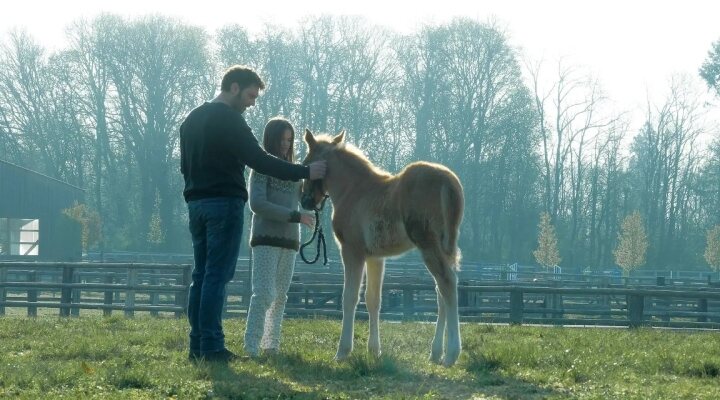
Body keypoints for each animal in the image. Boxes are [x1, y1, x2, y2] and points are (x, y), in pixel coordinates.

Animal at [300, 130, 464, 368]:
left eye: (306, 164)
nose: (305, 201)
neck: (353, 190)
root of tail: (449, 181)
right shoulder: (375, 257)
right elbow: (373, 300)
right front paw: (374, 350)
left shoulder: (352, 251)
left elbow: (350, 298)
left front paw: (343, 351)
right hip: (444, 246)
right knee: (440, 289)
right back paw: (435, 353)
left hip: (428, 244)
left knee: (447, 283)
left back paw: (451, 354)